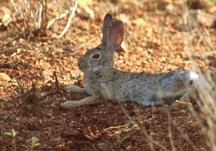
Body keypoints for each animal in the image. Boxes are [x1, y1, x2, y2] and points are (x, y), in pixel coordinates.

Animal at [60, 13, 199, 108]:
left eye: (95, 56)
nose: (79, 65)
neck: (101, 71)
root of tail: (195, 76)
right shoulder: (89, 90)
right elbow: (82, 89)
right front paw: (69, 88)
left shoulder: (101, 95)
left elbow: (86, 100)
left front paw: (68, 104)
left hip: (168, 88)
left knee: (190, 90)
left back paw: (180, 102)